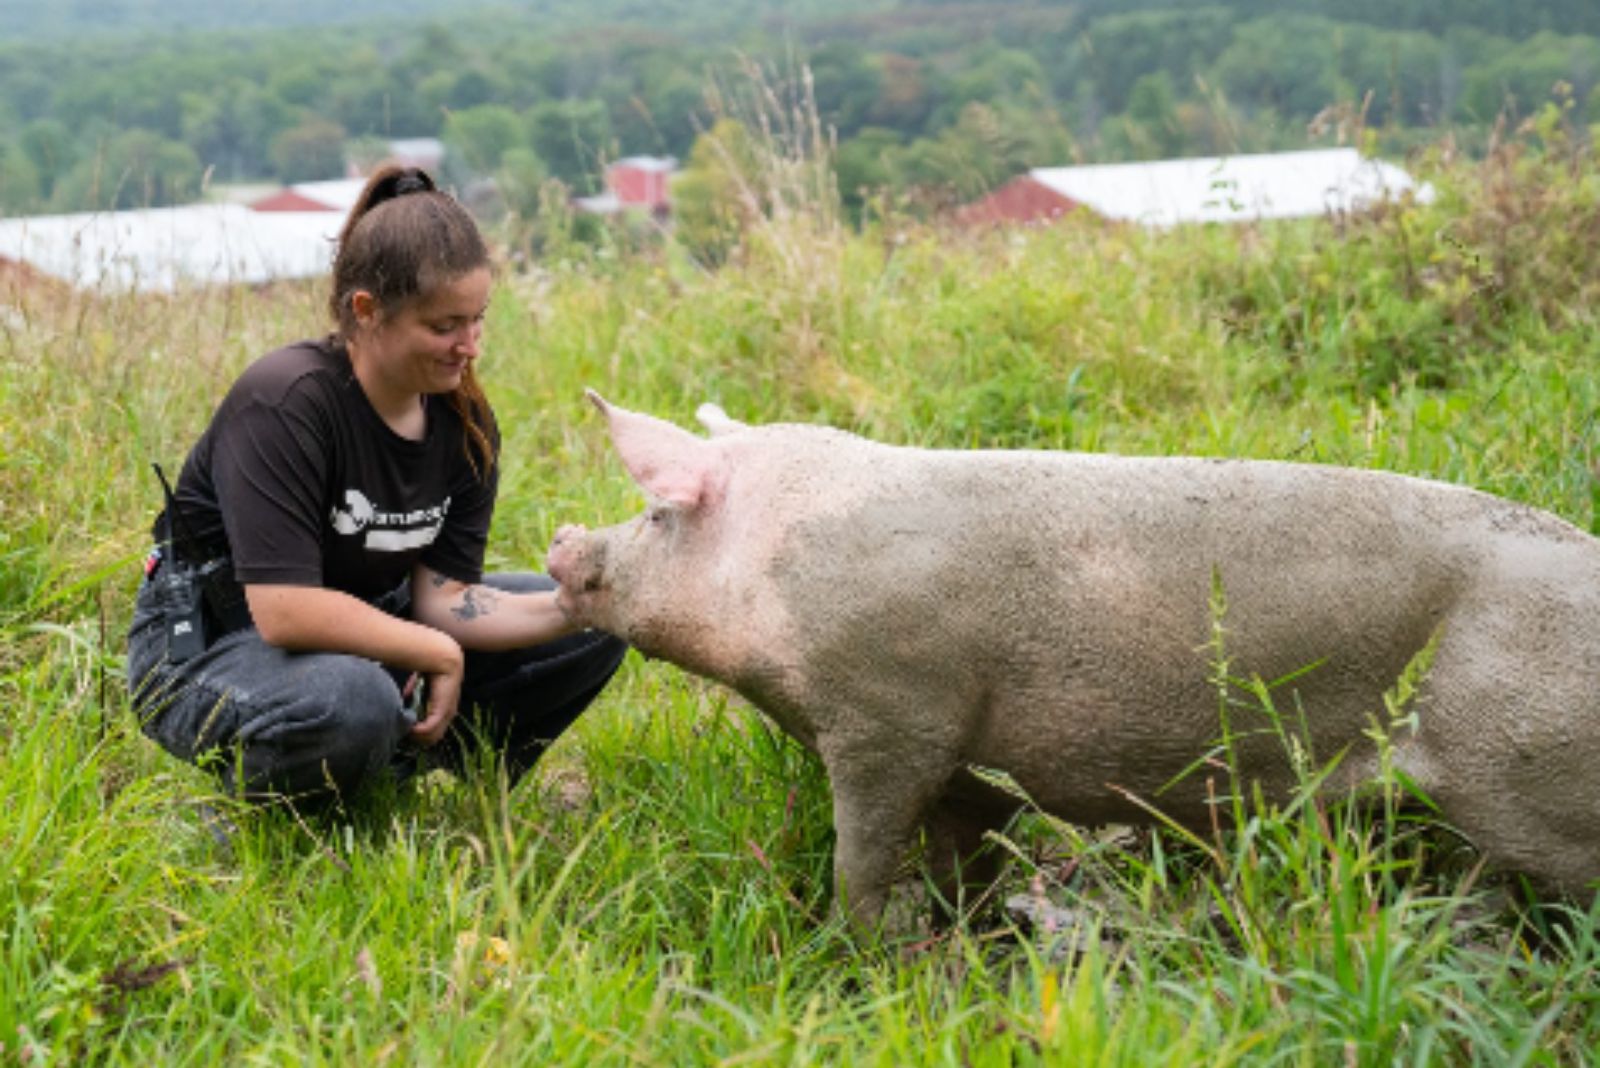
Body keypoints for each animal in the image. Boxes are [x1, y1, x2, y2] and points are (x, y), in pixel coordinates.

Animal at [547, 391, 1600, 927]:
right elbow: (967, 836)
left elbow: (865, 850)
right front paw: (961, 934)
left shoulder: (889, 714)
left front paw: (860, 942)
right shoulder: (954, 749)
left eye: (656, 514)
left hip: (1529, 768)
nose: (562, 541)